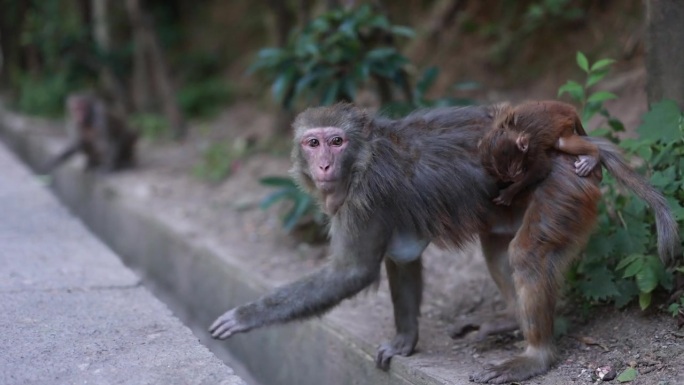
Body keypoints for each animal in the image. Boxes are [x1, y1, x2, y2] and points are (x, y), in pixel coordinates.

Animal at [210, 103, 680, 382]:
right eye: (313, 142)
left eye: (336, 141)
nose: (324, 164)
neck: (364, 155)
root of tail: (573, 145)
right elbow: (402, 256)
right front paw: (404, 339)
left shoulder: (363, 198)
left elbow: (352, 273)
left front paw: (245, 316)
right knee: (498, 252)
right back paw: (509, 323)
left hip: (564, 186)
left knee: (526, 256)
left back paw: (536, 355)